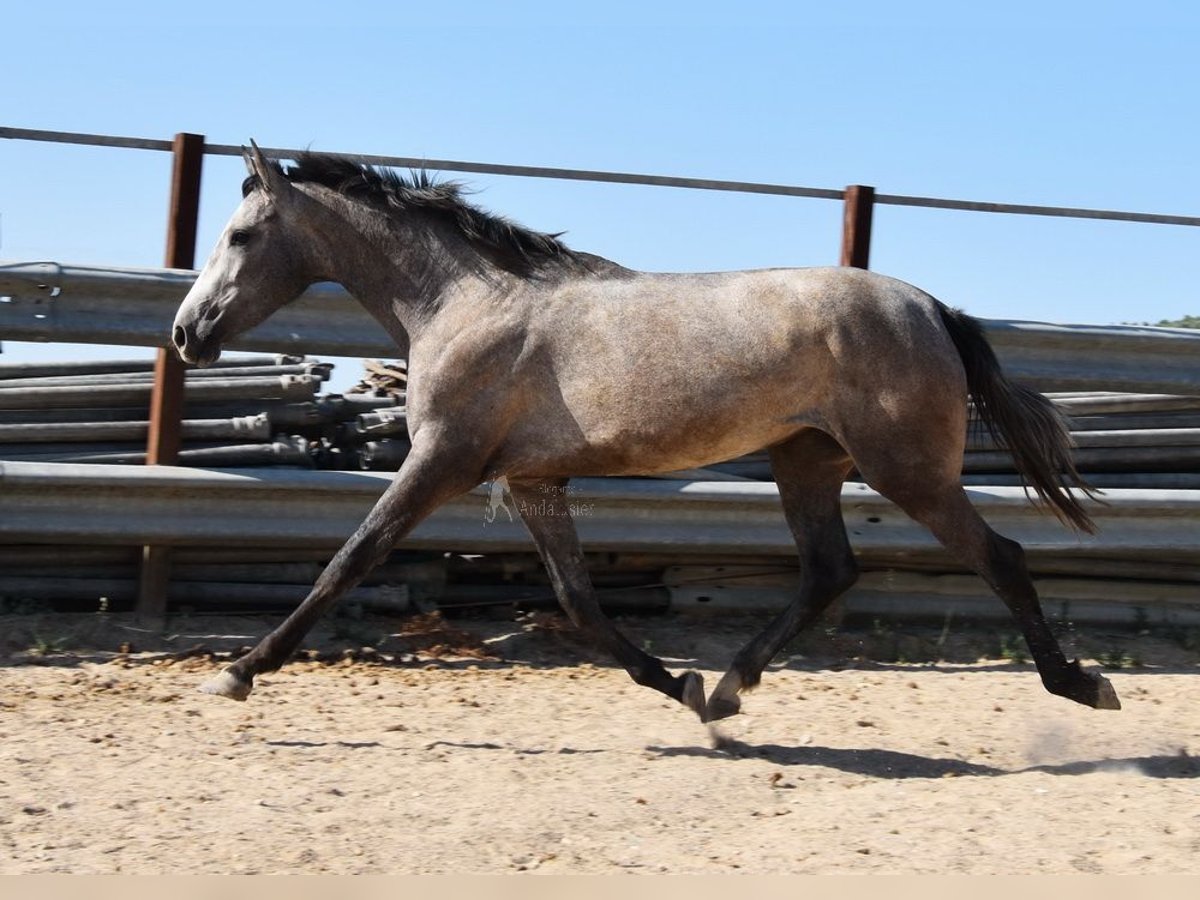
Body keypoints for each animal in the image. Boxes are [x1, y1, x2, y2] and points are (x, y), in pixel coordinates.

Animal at [174, 148, 1118, 724]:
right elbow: (580, 604)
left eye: (242, 235)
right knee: (829, 571)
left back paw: (1082, 684)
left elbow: (347, 561)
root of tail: (931, 308)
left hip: (905, 469)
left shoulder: (441, 461)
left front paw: (240, 669)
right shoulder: (533, 483)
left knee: (1000, 558)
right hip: (806, 461)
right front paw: (679, 682)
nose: (187, 333)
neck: (464, 304)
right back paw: (727, 690)